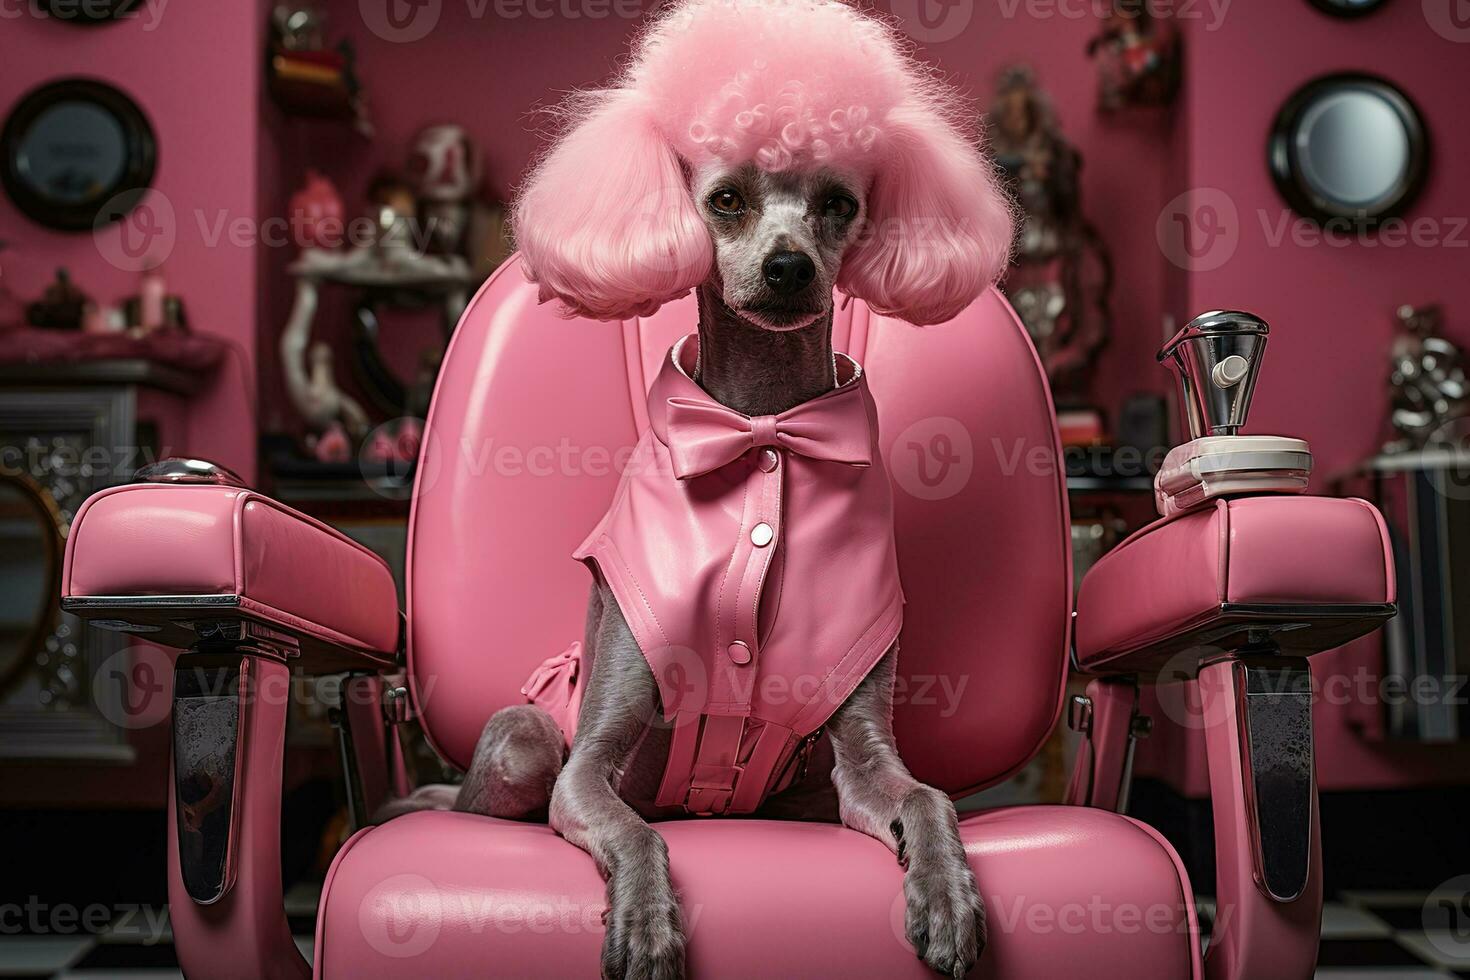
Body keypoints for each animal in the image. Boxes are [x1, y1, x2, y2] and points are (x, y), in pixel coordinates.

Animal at [385, 3, 1017, 975]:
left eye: (840, 203)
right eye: (725, 199)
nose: (791, 268)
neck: (762, 426)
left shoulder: (863, 760)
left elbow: (928, 798)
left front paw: (946, 898)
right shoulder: (589, 765)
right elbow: (638, 833)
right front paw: (647, 925)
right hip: (527, 744)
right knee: (479, 796)